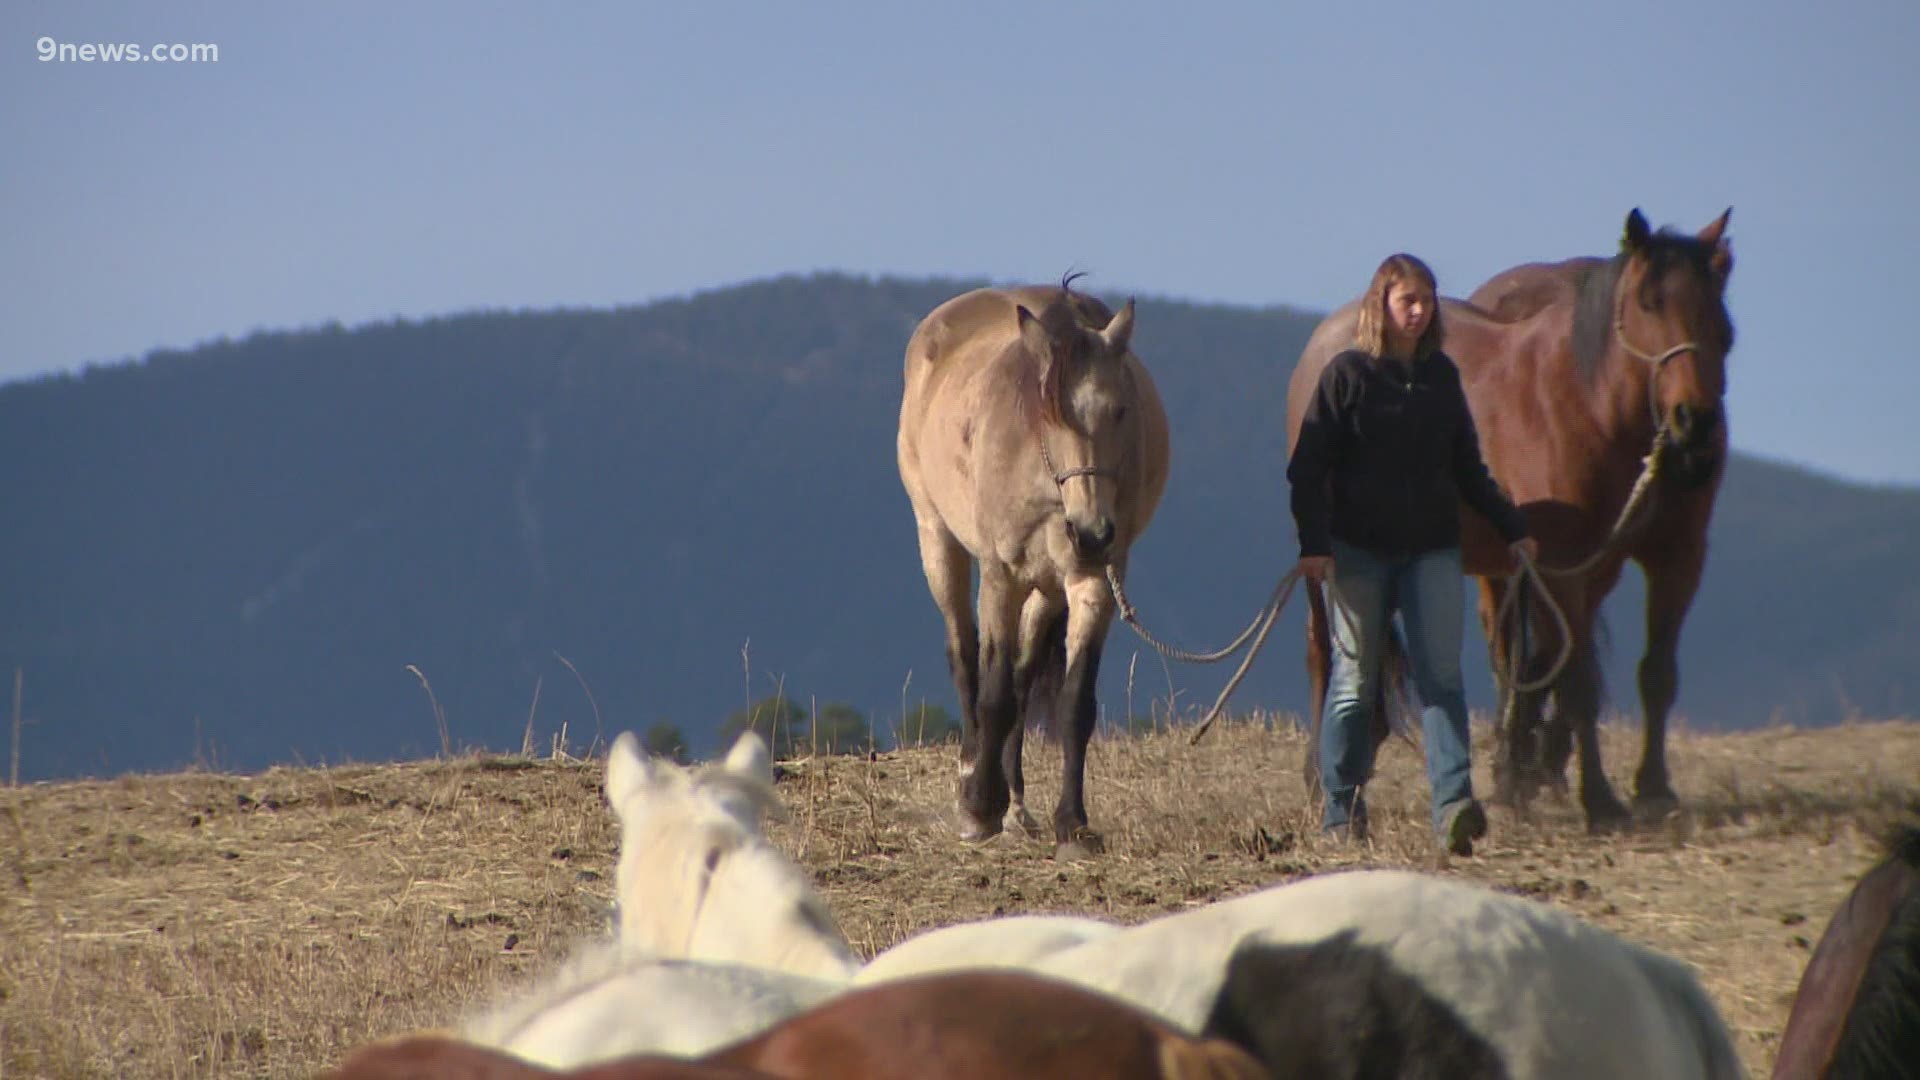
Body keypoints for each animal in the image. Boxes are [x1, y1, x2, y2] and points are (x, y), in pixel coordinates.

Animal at [894, 274, 1167, 857]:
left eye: (1121, 411)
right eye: (1051, 415)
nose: (1092, 532)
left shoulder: (1093, 581)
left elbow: (1073, 702)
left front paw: (1073, 824)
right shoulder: (1001, 576)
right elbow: (993, 692)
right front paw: (979, 807)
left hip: (1047, 588)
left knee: (1022, 677)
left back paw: (1016, 802)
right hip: (938, 540)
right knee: (965, 654)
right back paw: (973, 778)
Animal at [1290, 210, 1743, 834]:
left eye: (1720, 315)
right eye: (1650, 303)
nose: (1694, 429)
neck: (1591, 404)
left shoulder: (1674, 557)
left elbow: (1655, 673)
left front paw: (1653, 789)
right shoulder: (1561, 565)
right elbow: (1577, 681)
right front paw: (1600, 799)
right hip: (1327, 564)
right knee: (1324, 650)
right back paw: (1320, 778)